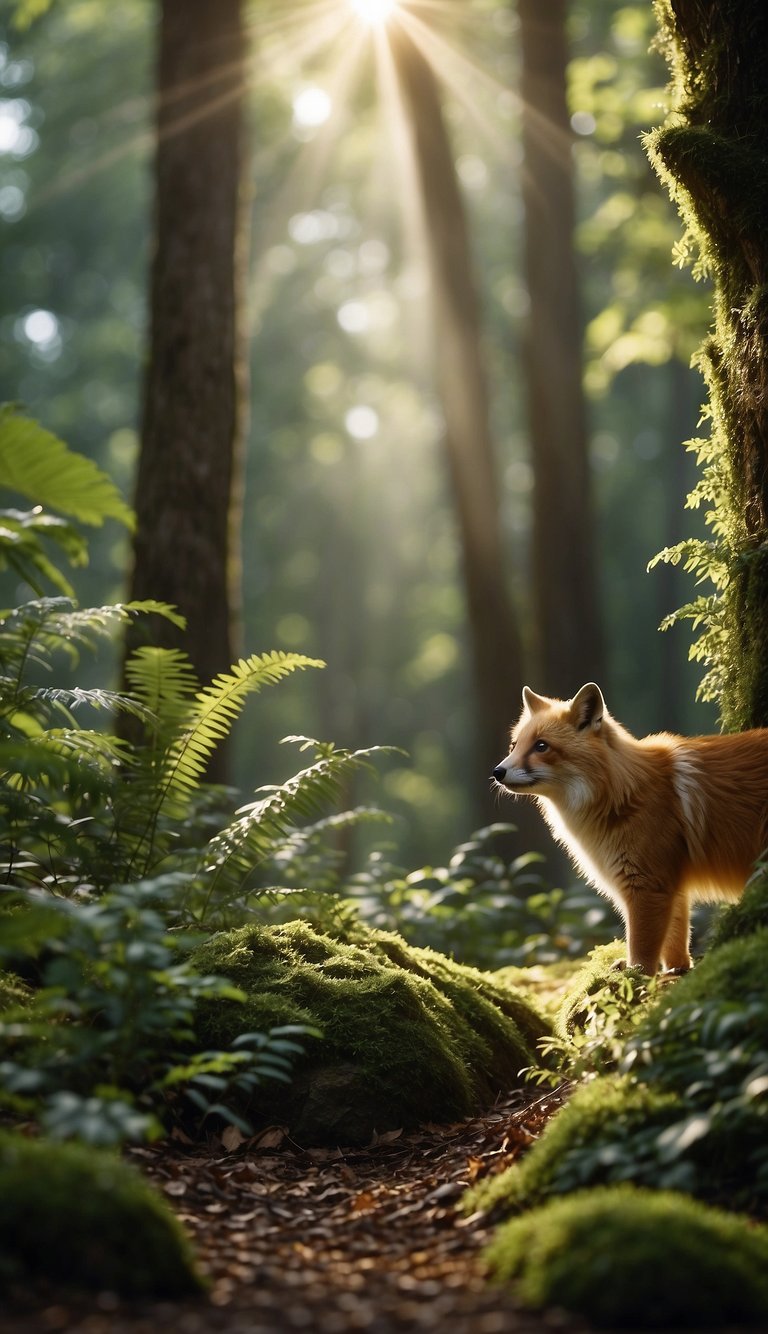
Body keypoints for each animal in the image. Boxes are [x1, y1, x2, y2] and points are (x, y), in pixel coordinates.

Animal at [488, 683, 768, 976]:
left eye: (541, 746)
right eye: (514, 745)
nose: (497, 772)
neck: (623, 794)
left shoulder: (646, 884)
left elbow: (641, 946)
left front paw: (636, 975)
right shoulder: (670, 883)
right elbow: (675, 941)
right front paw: (676, 971)